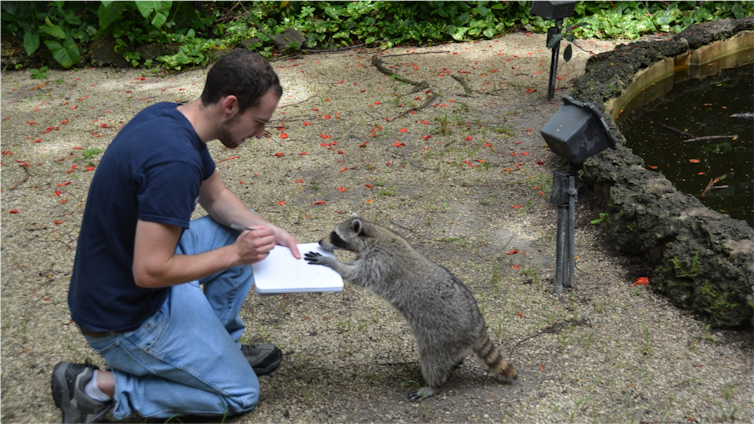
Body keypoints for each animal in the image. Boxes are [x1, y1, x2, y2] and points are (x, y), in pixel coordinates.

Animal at [304, 214, 517, 402]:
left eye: (334, 235)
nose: (320, 241)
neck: (374, 234)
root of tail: (478, 325)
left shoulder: (381, 263)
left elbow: (356, 275)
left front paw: (331, 262)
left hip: (443, 336)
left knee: (432, 360)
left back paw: (434, 385)